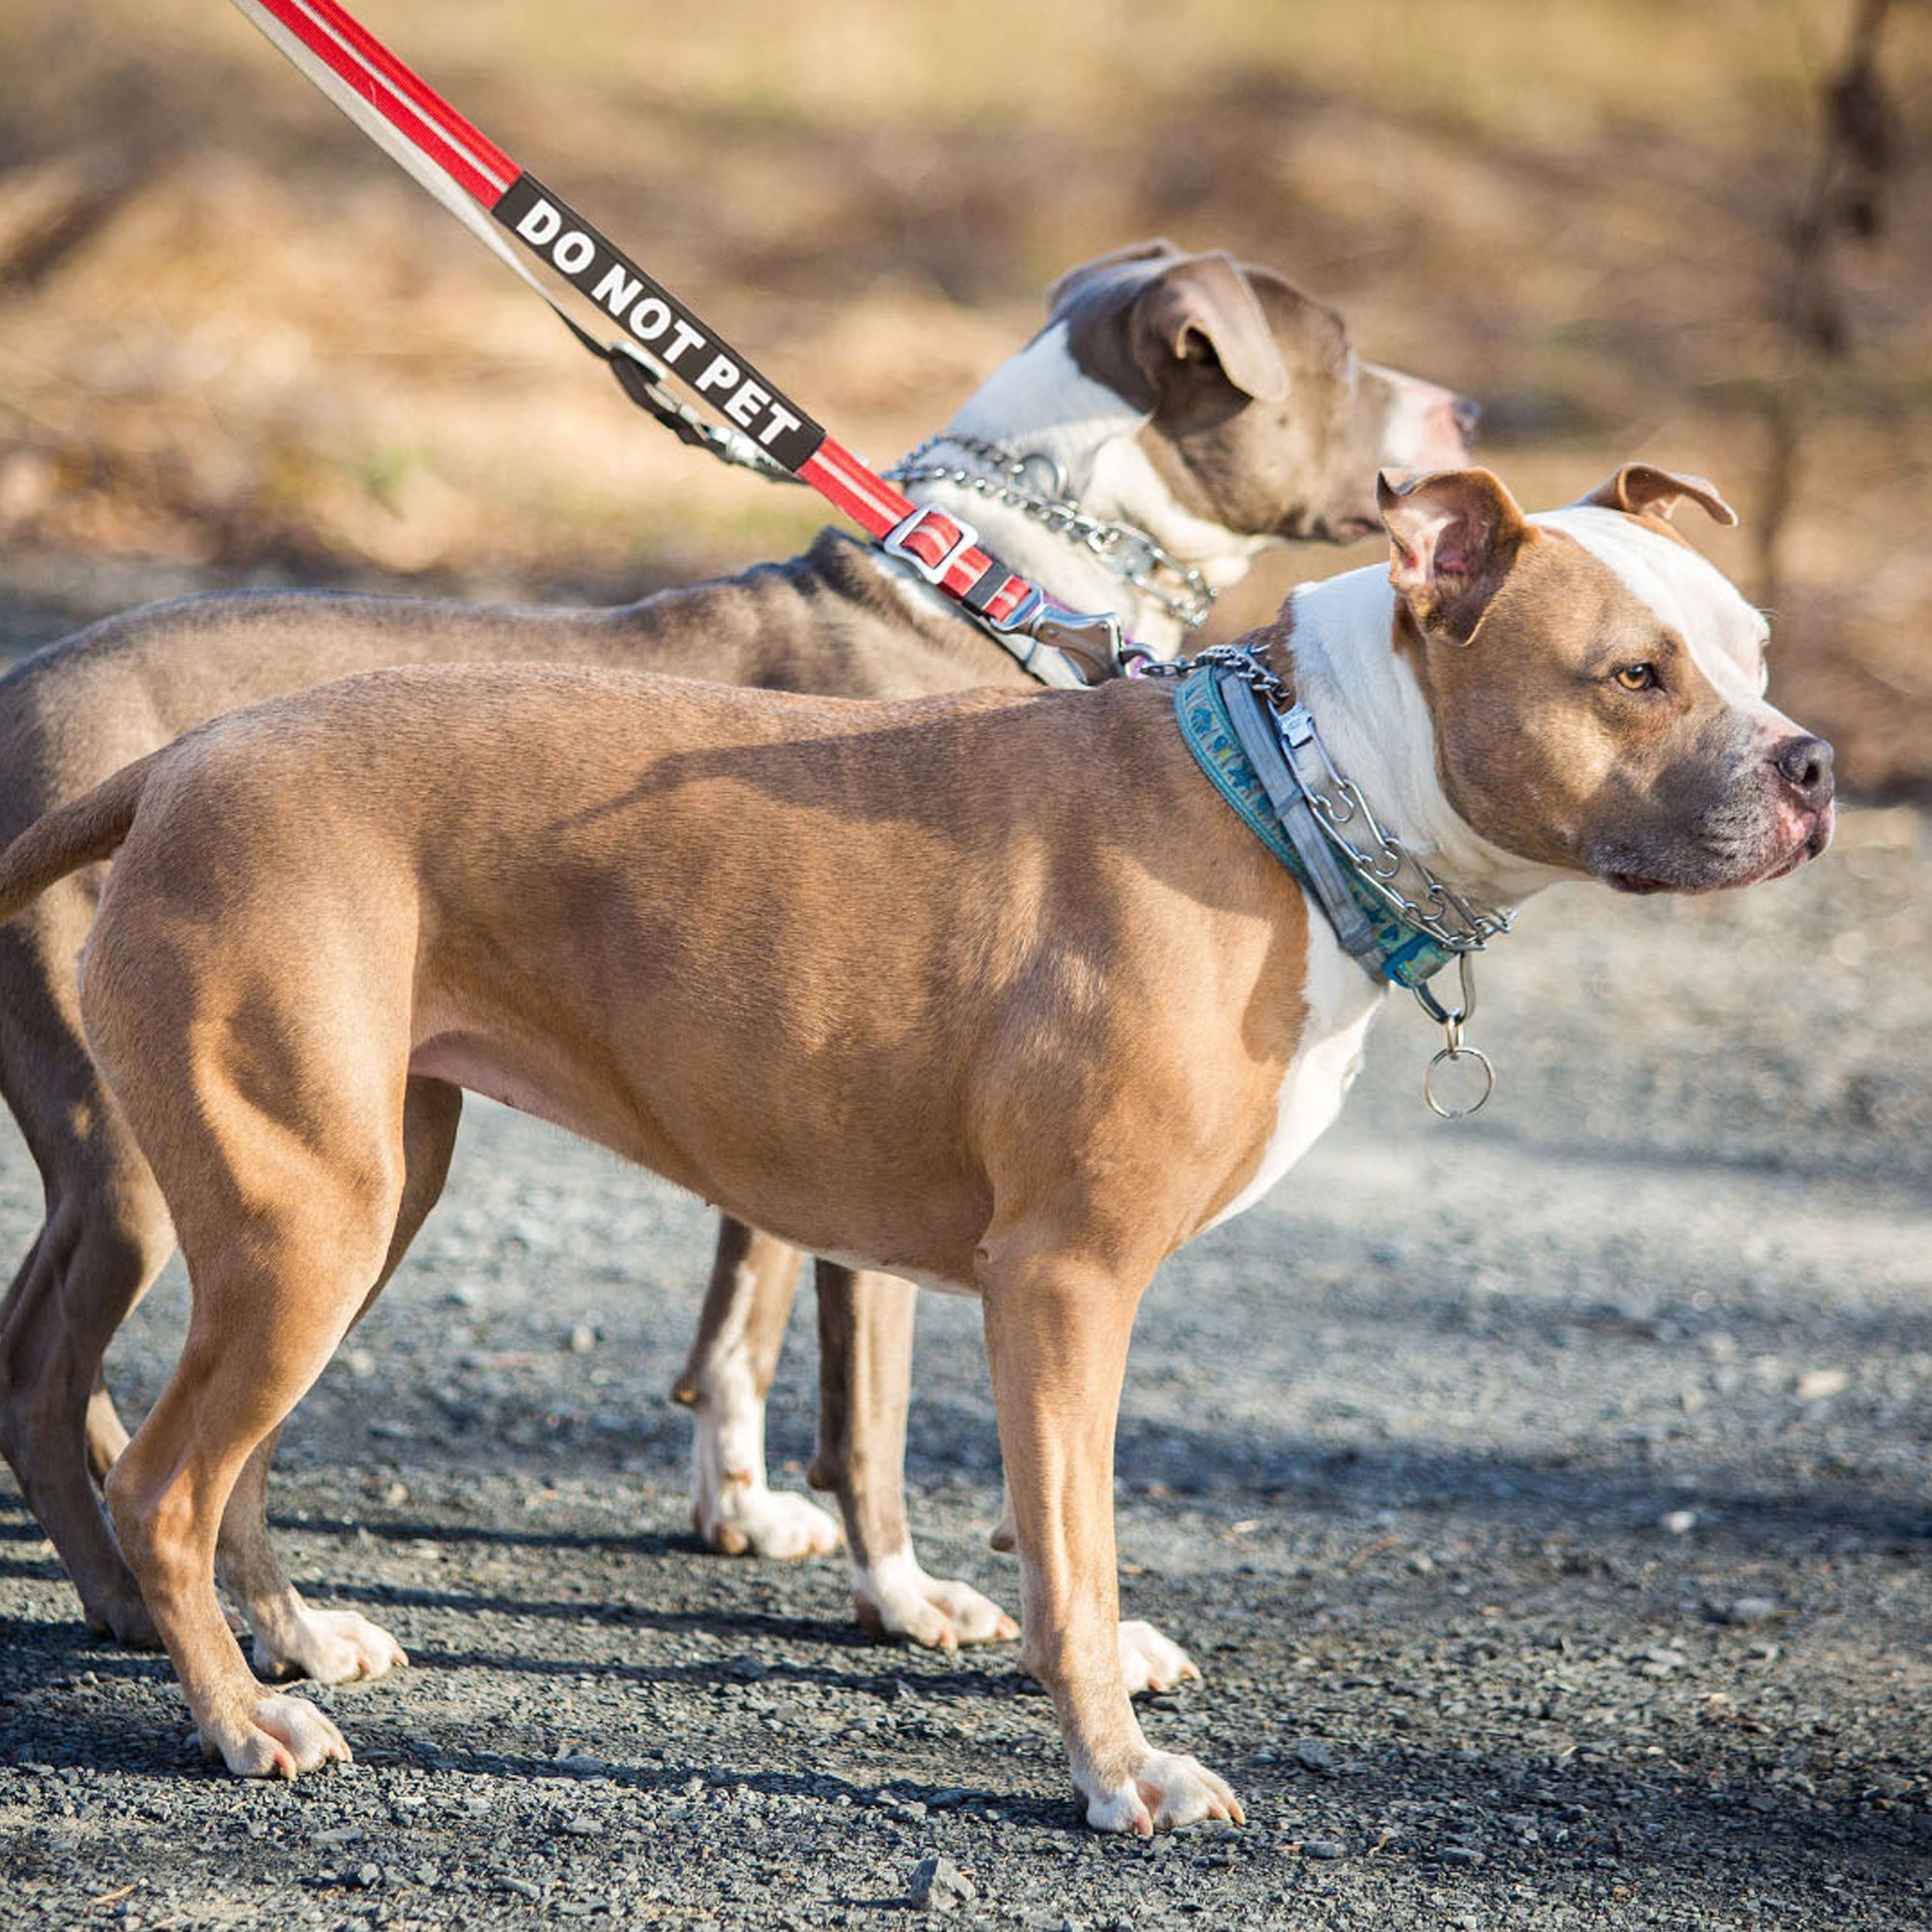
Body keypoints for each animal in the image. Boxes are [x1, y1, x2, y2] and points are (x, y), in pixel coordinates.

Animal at [0, 234, 1468, 1669]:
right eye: (1340, 351)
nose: (1462, 416)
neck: (1006, 579)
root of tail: (25, 699)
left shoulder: (783, 1108)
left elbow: (740, 1325)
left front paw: (744, 1510)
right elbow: (864, 1402)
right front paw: (905, 1591)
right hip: (153, 1162)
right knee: (50, 1372)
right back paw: (130, 1598)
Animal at [0, 456, 1824, 1824]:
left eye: (1754, 648)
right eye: (1635, 676)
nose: (1812, 762)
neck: (1298, 787)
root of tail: (176, 768)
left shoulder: (1043, 1295)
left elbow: (1046, 1520)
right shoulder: (1069, 1278)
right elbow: (1073, 1542)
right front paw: (1120, 1776)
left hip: (363, 1200)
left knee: (233, 1463)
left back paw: (295, 1645)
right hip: (300, 1214)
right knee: (165, 1480)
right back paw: (239, 1721)